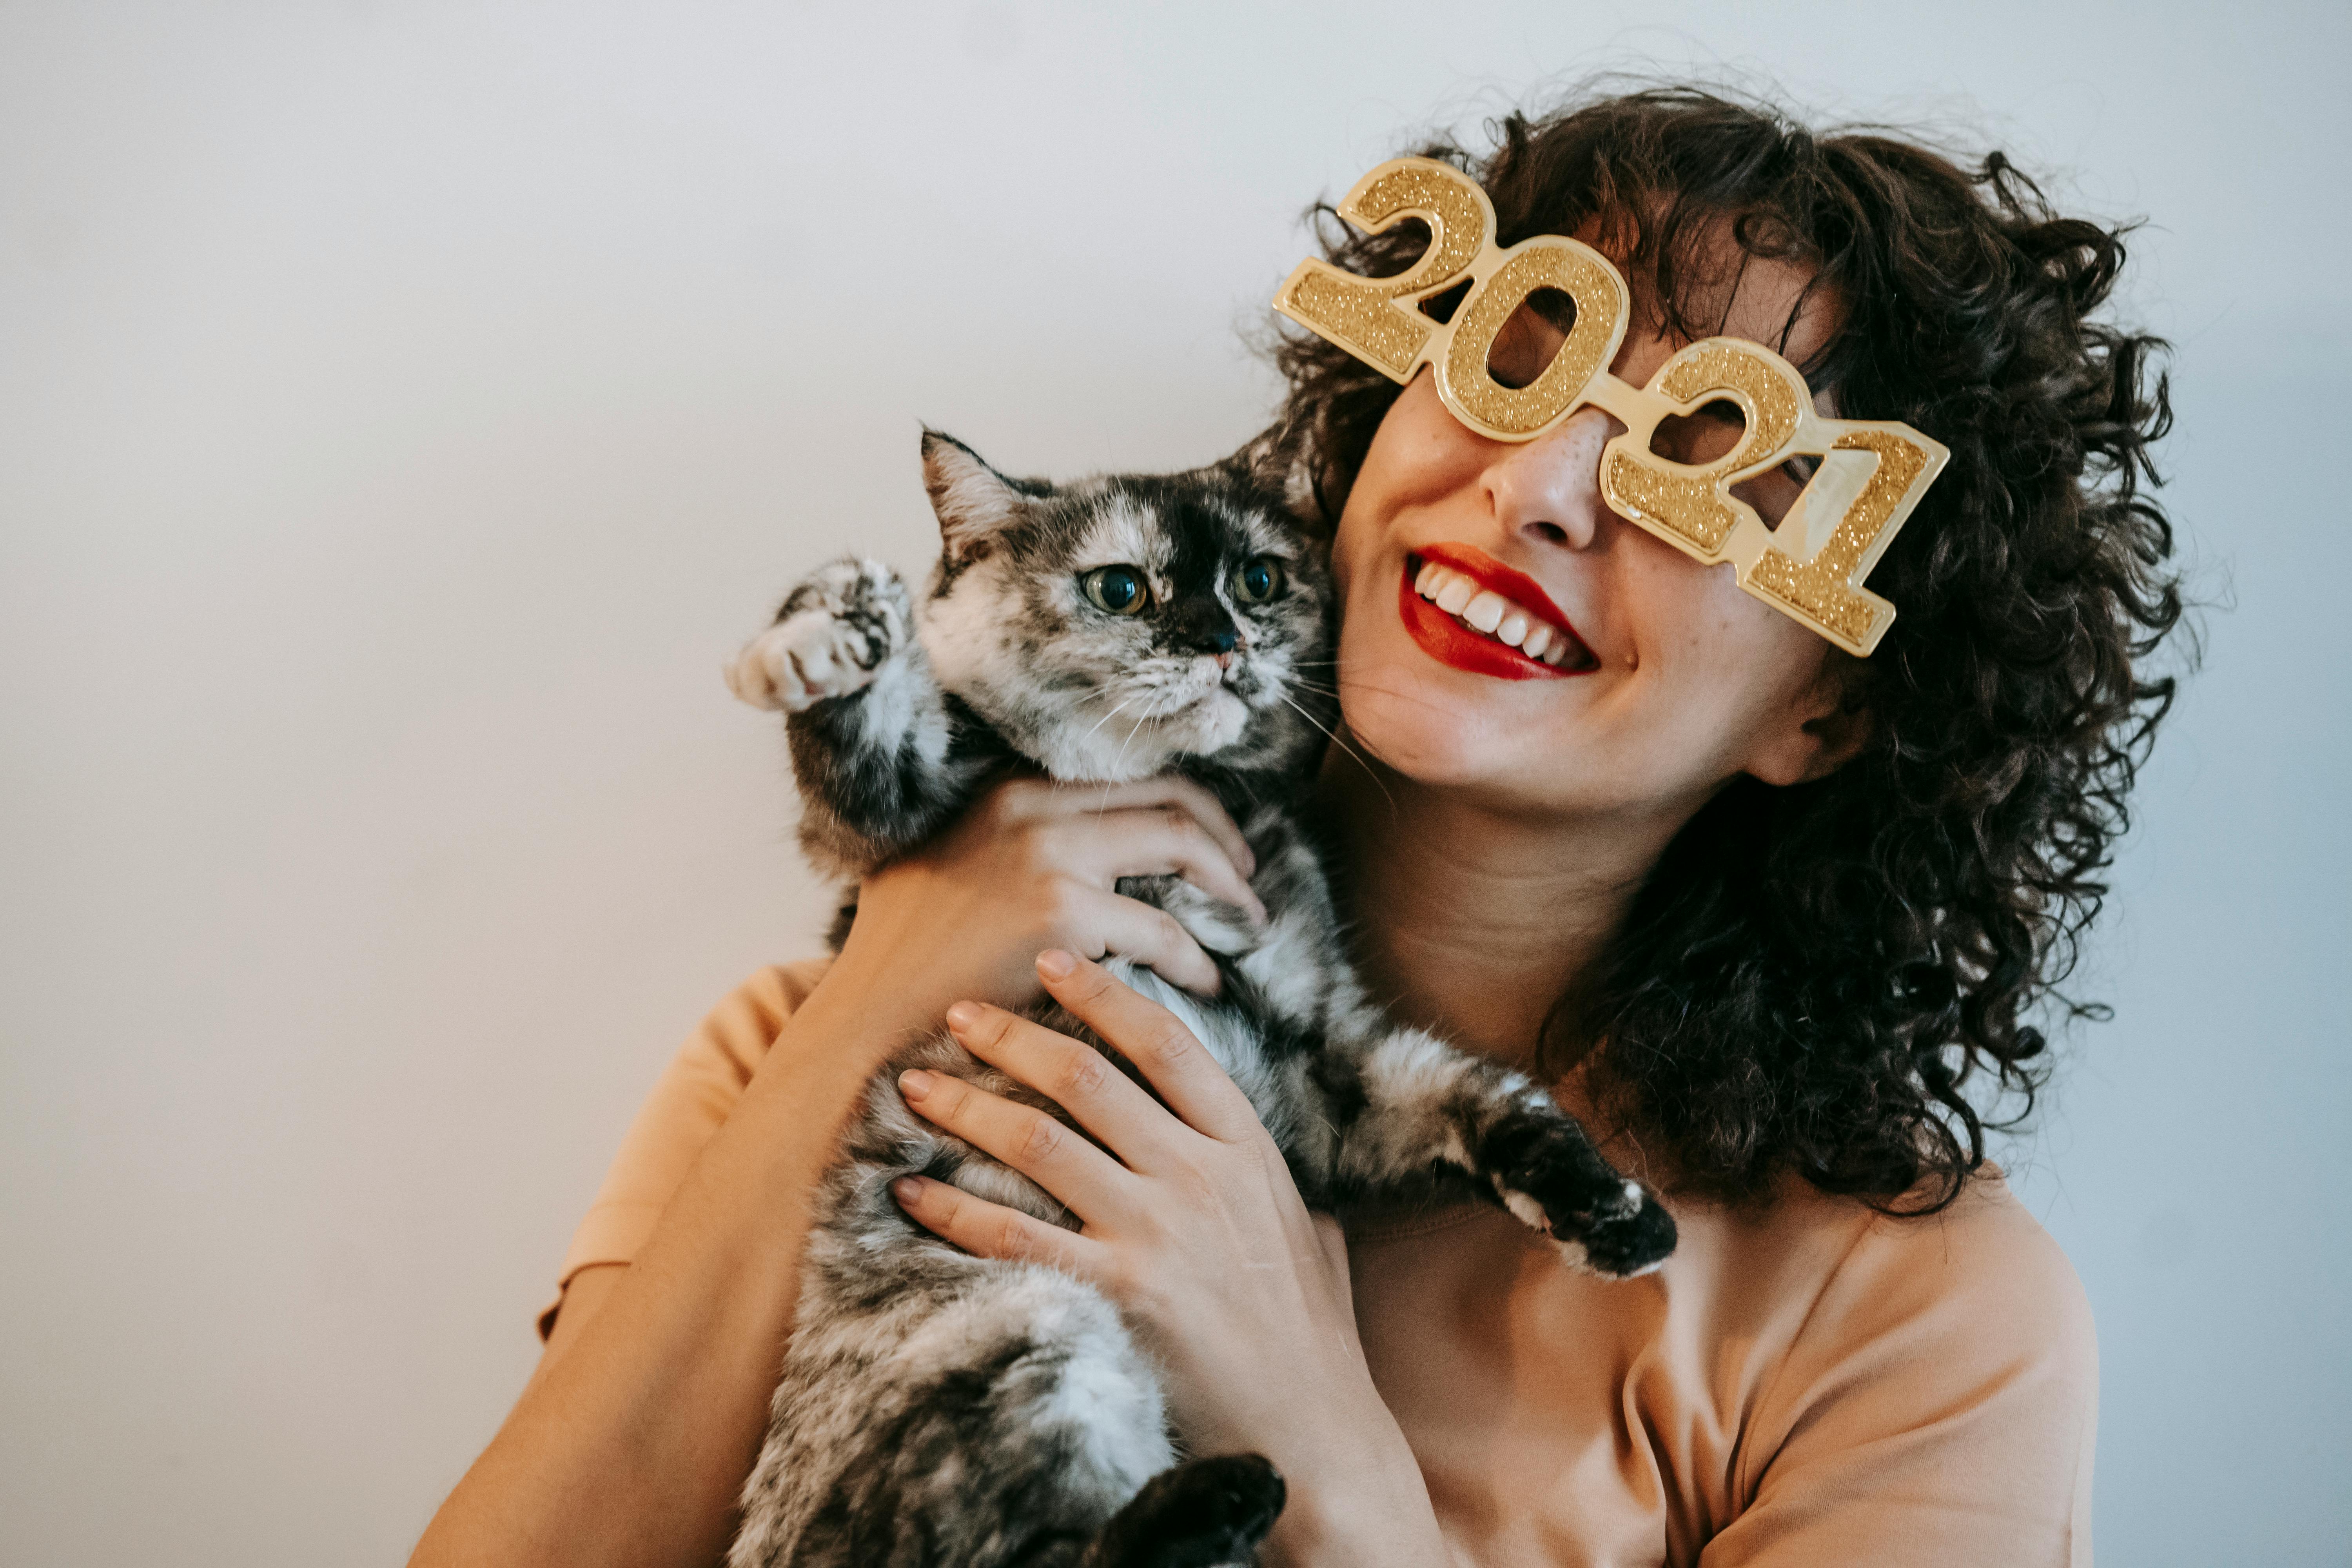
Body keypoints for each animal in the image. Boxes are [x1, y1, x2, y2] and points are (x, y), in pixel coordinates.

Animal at [715, 430, 1675, 1568]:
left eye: (1258, 578)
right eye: (1121, 588)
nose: (1222, 640)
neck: (1208, 804)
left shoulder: (1333, 1084)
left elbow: (1490, 1100)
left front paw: (1617, 1219)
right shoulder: (890, 809)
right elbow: (861, 676)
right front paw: (818, 641)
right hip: (1018, 1332)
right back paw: (1224, 1496)